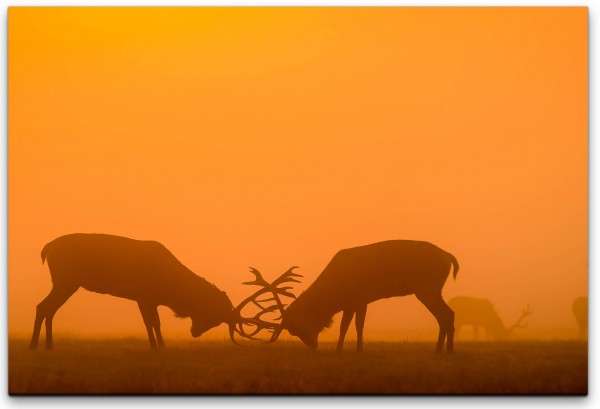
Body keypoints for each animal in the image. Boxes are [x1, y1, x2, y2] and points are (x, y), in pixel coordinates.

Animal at [30, 233, 236, 348]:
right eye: (214, 316)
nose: (195, 332)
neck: (170, 290)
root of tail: (46, 249)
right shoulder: (145, 296)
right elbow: (154, 323)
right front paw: (160, 346)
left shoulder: (145, 299)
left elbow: (149, 323)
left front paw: (155, 345)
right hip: (65, 281)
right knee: (43, 307)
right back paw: (34, 345)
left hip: (65, 283)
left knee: (48, 308)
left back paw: (48, 346)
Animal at [236, 241, 460, 352]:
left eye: (294, 329)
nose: (313, 347)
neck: (336, 292)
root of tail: (448, 256)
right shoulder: (350, 302)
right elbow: (345, 326)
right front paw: (339, 349)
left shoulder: (360, 297)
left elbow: (358, 326)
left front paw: (358, 350)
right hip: (429, 289)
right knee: (446, 315)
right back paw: (442, 350)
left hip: (427, 287)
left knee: (447, 314)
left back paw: (445, 350)